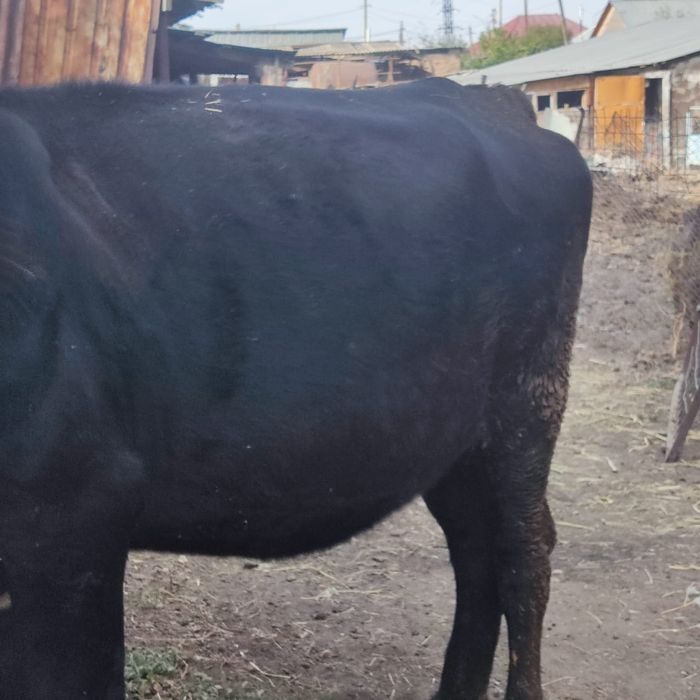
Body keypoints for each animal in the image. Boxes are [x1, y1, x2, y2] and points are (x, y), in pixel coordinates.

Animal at [0, 77, 592, 699]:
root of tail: (490, 101)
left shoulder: (74, 514)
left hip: (526, 403)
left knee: (522, 554)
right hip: (454, 439)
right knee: (475, 554)